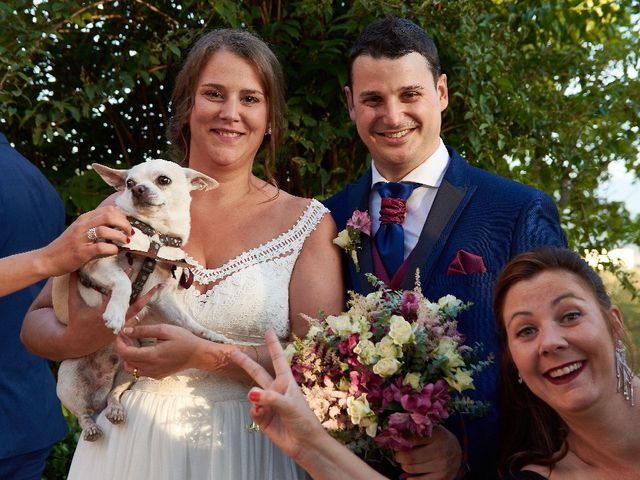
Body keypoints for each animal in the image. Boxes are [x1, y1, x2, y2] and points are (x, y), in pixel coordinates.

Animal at [53, 159, 230, 440]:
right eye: (129, 183)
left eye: (163, 180)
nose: (138, 190)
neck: (154, 235)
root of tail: (99, 392)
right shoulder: (98, 264)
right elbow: (125, 282)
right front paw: (116, 314)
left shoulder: (162, 298)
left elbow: (187, 321)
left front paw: (210, 335)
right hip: (69, 379)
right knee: (82, 413)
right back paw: (91, 427)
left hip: (128, 369)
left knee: (113, 396)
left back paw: (114, 409)